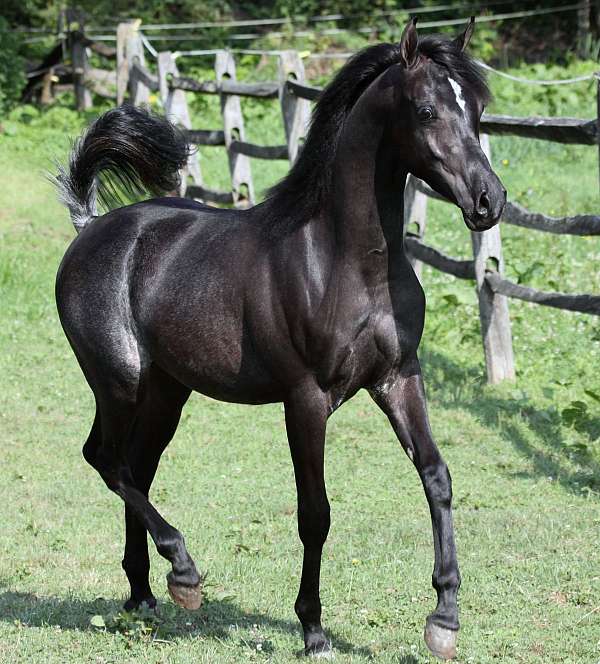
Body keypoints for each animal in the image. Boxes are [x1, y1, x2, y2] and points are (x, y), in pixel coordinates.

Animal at [56, 18, 506, 660]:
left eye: (477, 111)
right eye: (426, 110)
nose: (488, 200)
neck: (345, 262)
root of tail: (91, 227)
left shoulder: (398, 378)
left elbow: (436, 477)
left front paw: (444, 618)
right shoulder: (306, 399)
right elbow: (314, 512)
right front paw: (313, 628)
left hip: (167, 391)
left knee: (136, 468)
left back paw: (145, 593)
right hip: (118, 382)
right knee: (106, 459)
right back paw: (184, 572)